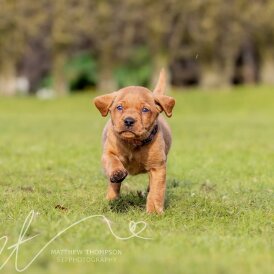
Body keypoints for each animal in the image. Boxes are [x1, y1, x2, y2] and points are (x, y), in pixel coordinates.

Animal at [93, 69, 176, 213]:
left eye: (145, 110)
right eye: (119, 107)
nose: (129, 121)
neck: (133, 143)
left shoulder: (157, 167)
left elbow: (156, 191)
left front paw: (154, 211)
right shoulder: (108, 153)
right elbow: (113, 161)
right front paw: (117, 172)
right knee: (114, 185)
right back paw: (112, 197)